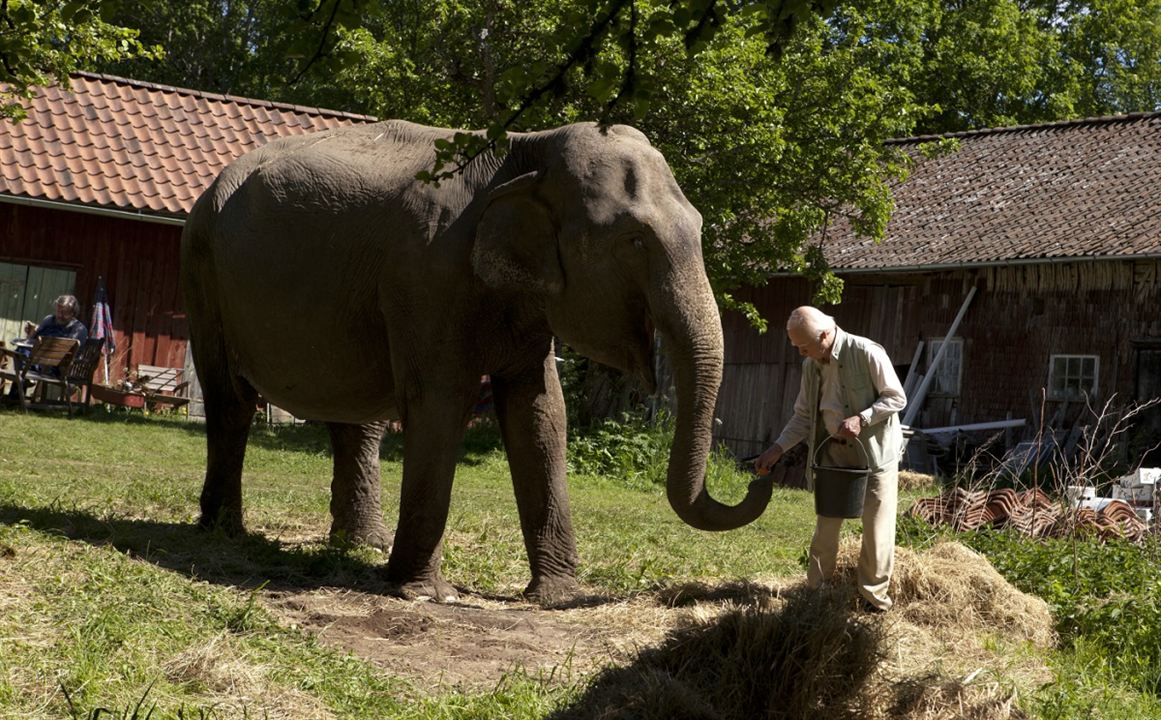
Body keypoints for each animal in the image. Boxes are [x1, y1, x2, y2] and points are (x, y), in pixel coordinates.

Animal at [181, 120, 775, 603]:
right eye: (633, 240)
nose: (758, 477)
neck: (528, 148)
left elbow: (540, 411)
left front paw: (556, 596)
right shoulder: (428, 271)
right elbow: (441, 400)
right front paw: (423, 593)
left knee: (355, 415)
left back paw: (361, 545)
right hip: (202, 266)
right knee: (230, 401)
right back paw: (224, 531)